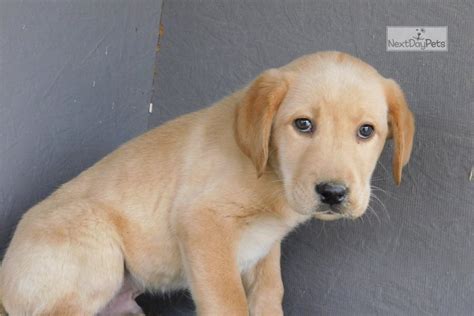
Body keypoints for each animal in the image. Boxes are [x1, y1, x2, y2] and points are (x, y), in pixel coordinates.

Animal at [0, 51, 412, 314]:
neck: (270, 172)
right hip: (98, 246)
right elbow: (229, 303)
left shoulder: (265, 248)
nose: (333, 193)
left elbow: (270, 292)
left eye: (366, 131)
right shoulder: (202, 224)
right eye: (303, 125)